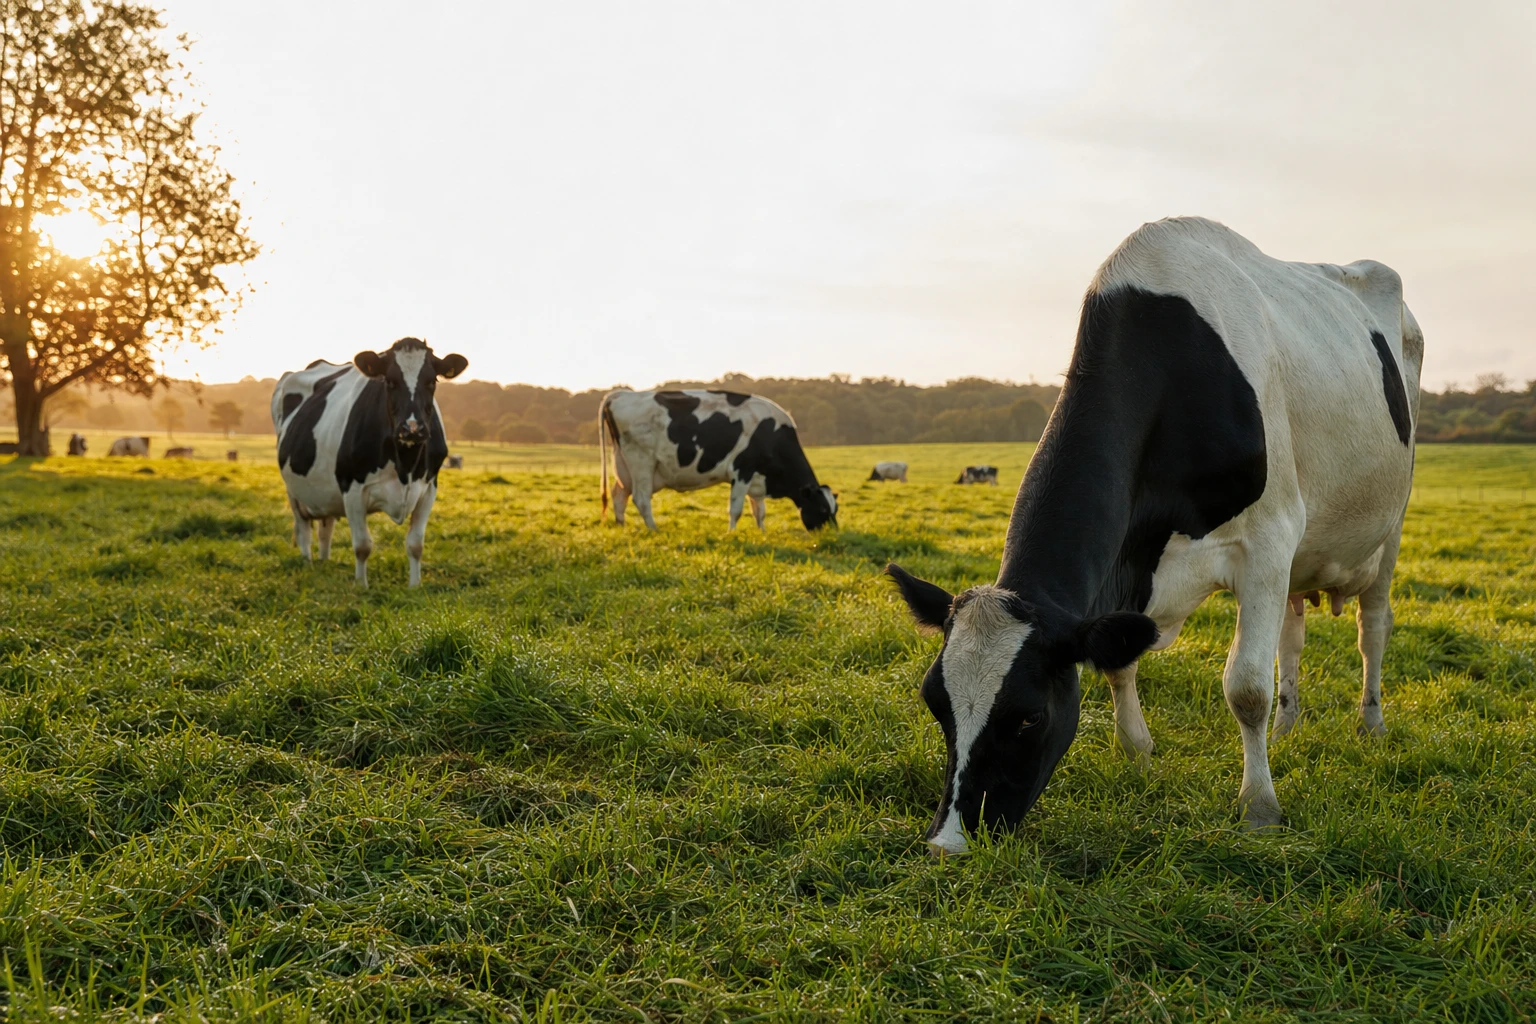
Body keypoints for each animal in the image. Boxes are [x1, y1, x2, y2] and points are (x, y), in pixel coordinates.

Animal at [272, 338, 467, 587]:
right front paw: (361, 586)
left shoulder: (429, 488)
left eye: (431, 381)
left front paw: (415, 586)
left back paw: (325, 561)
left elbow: (415, 544)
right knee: (303, 528)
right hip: (293, 491)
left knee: (325, 526)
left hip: (324, 492)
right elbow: (362, 546)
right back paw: (309, 563)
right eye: (390, 381)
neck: (405, 466)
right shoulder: (352, 487)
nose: (412, 428)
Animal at [599, 389, 837, 531]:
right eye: (823, 510)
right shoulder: (742, 470)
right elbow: (736, 509)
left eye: (835, 510)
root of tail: (622, 394)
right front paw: (731, 534)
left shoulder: (757, 477)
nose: (832, 534)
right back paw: (654, 530)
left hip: (623, 465)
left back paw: (621, 526)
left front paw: (762, 532)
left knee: (619, 494)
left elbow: (760, 511)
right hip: (642, 461)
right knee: (641, 498)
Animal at [887, 217, 1422, 854]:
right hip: (1304, 556)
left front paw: (1259, 807)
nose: (947, 843)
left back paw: (1371, 723)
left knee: (1373, 630)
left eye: (1029, 716)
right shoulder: (1132, 571)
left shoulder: (1268, 541)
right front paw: (1139, 756)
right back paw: (1288, 728)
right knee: (1292, 638)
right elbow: (1122, 660)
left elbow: (1246, 687)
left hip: (1388, 528)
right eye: (934, 704)